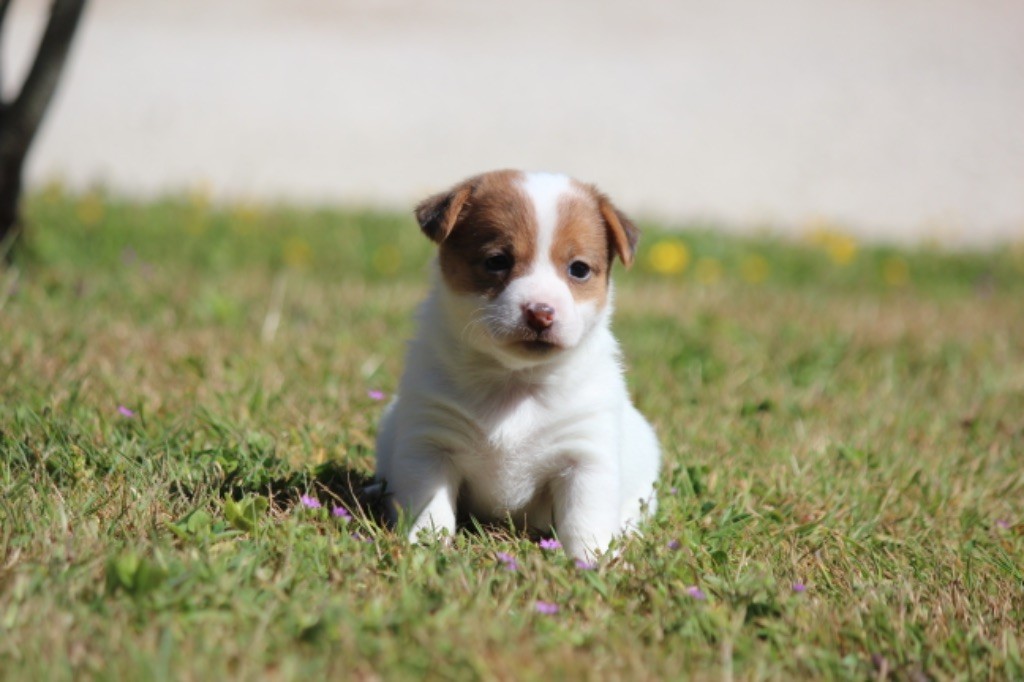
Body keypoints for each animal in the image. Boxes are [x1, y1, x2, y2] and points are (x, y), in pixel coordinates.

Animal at [372, 169, 659, 557]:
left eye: (579, 269)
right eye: (497, 261)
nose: (541, 313)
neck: (514, 380)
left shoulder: (585, 457)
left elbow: (586, 519)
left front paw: (592, 560)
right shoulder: (429, 444)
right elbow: (430, 508)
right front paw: (425, 547)